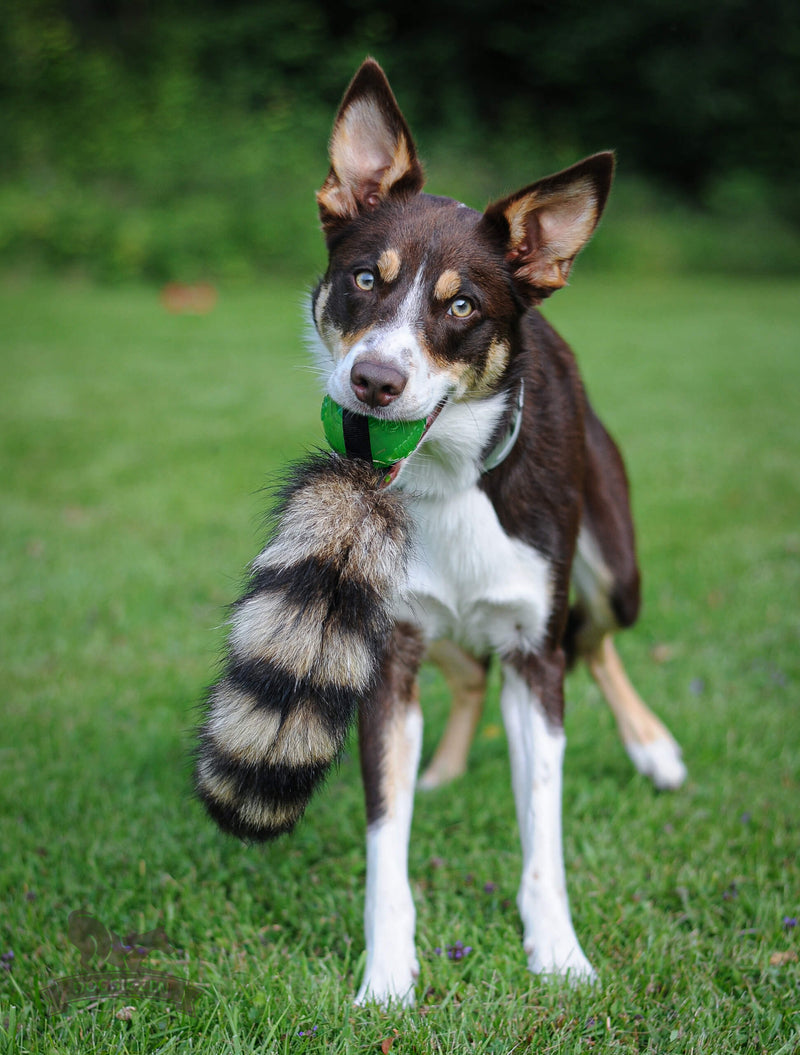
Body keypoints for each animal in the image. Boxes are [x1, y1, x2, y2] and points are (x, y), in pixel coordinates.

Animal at [196, 55, 688, 1004]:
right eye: (364, 279)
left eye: (461, 308)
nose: (374, 381)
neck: (451, 476)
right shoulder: (385, 648)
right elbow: (387, 836)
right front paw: (387, 973)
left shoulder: (536, 654)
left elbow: (543, 832)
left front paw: (559, 953)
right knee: (468, 674)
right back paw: (451, 765)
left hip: (616, 567)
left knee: (597, 640)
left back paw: (654, 750)